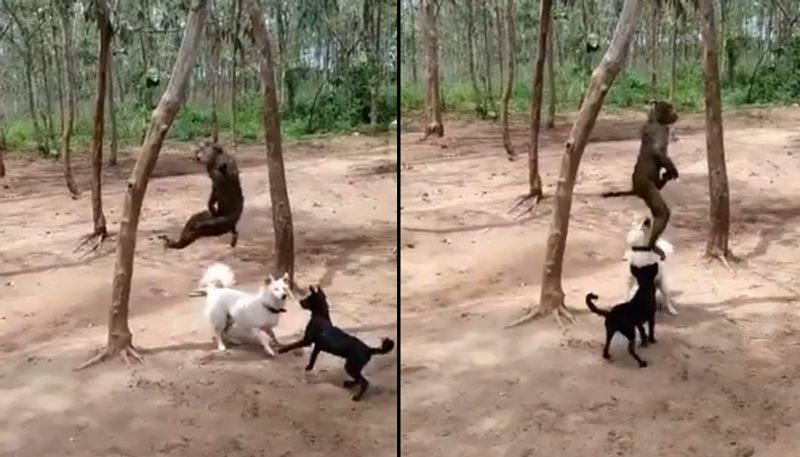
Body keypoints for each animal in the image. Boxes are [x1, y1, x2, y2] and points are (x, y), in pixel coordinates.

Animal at [601, 101, 680, 260]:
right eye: (671, 109)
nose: (676, 114)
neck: (653, 120)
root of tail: (635, 188)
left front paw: (669, 173)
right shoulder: (662, 130)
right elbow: (658, 151)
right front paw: (674, 171)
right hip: (646, 186)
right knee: (661, 212)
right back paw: (652, 245)